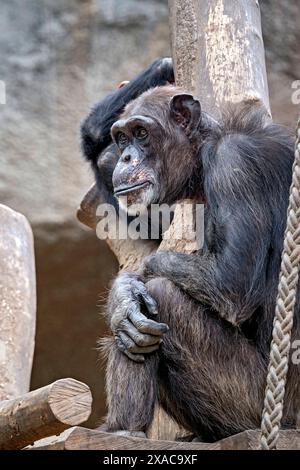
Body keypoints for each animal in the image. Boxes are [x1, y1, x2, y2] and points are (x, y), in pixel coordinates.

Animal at [81, 59, 298, 440]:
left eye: (141, 133)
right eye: (122, 137)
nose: (125, 156)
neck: (205, 149)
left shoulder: (234, 166)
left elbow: (230, 282)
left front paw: (128, 291)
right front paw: (122, 299)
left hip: (253, 404)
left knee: (165, 296)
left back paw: (124, 432)